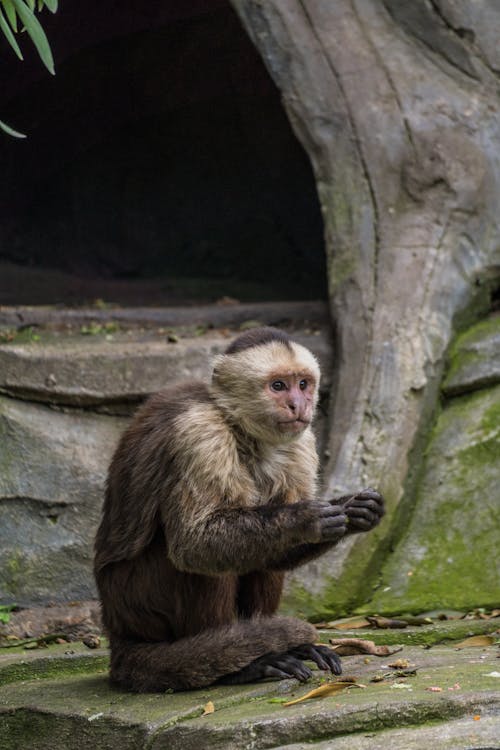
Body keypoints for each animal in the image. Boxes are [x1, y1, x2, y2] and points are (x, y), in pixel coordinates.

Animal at [93, 328, 382, 692]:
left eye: (303, 384)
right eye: (278, 386)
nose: (298, 404)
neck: (237, 426)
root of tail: (118, 634)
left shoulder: (301, 442)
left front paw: (352, 511)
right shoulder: (200, 435)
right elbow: (194, 544)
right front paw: (303, 519)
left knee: (259, 552)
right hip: (134, 603)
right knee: (198, 561)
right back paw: (234, 662)